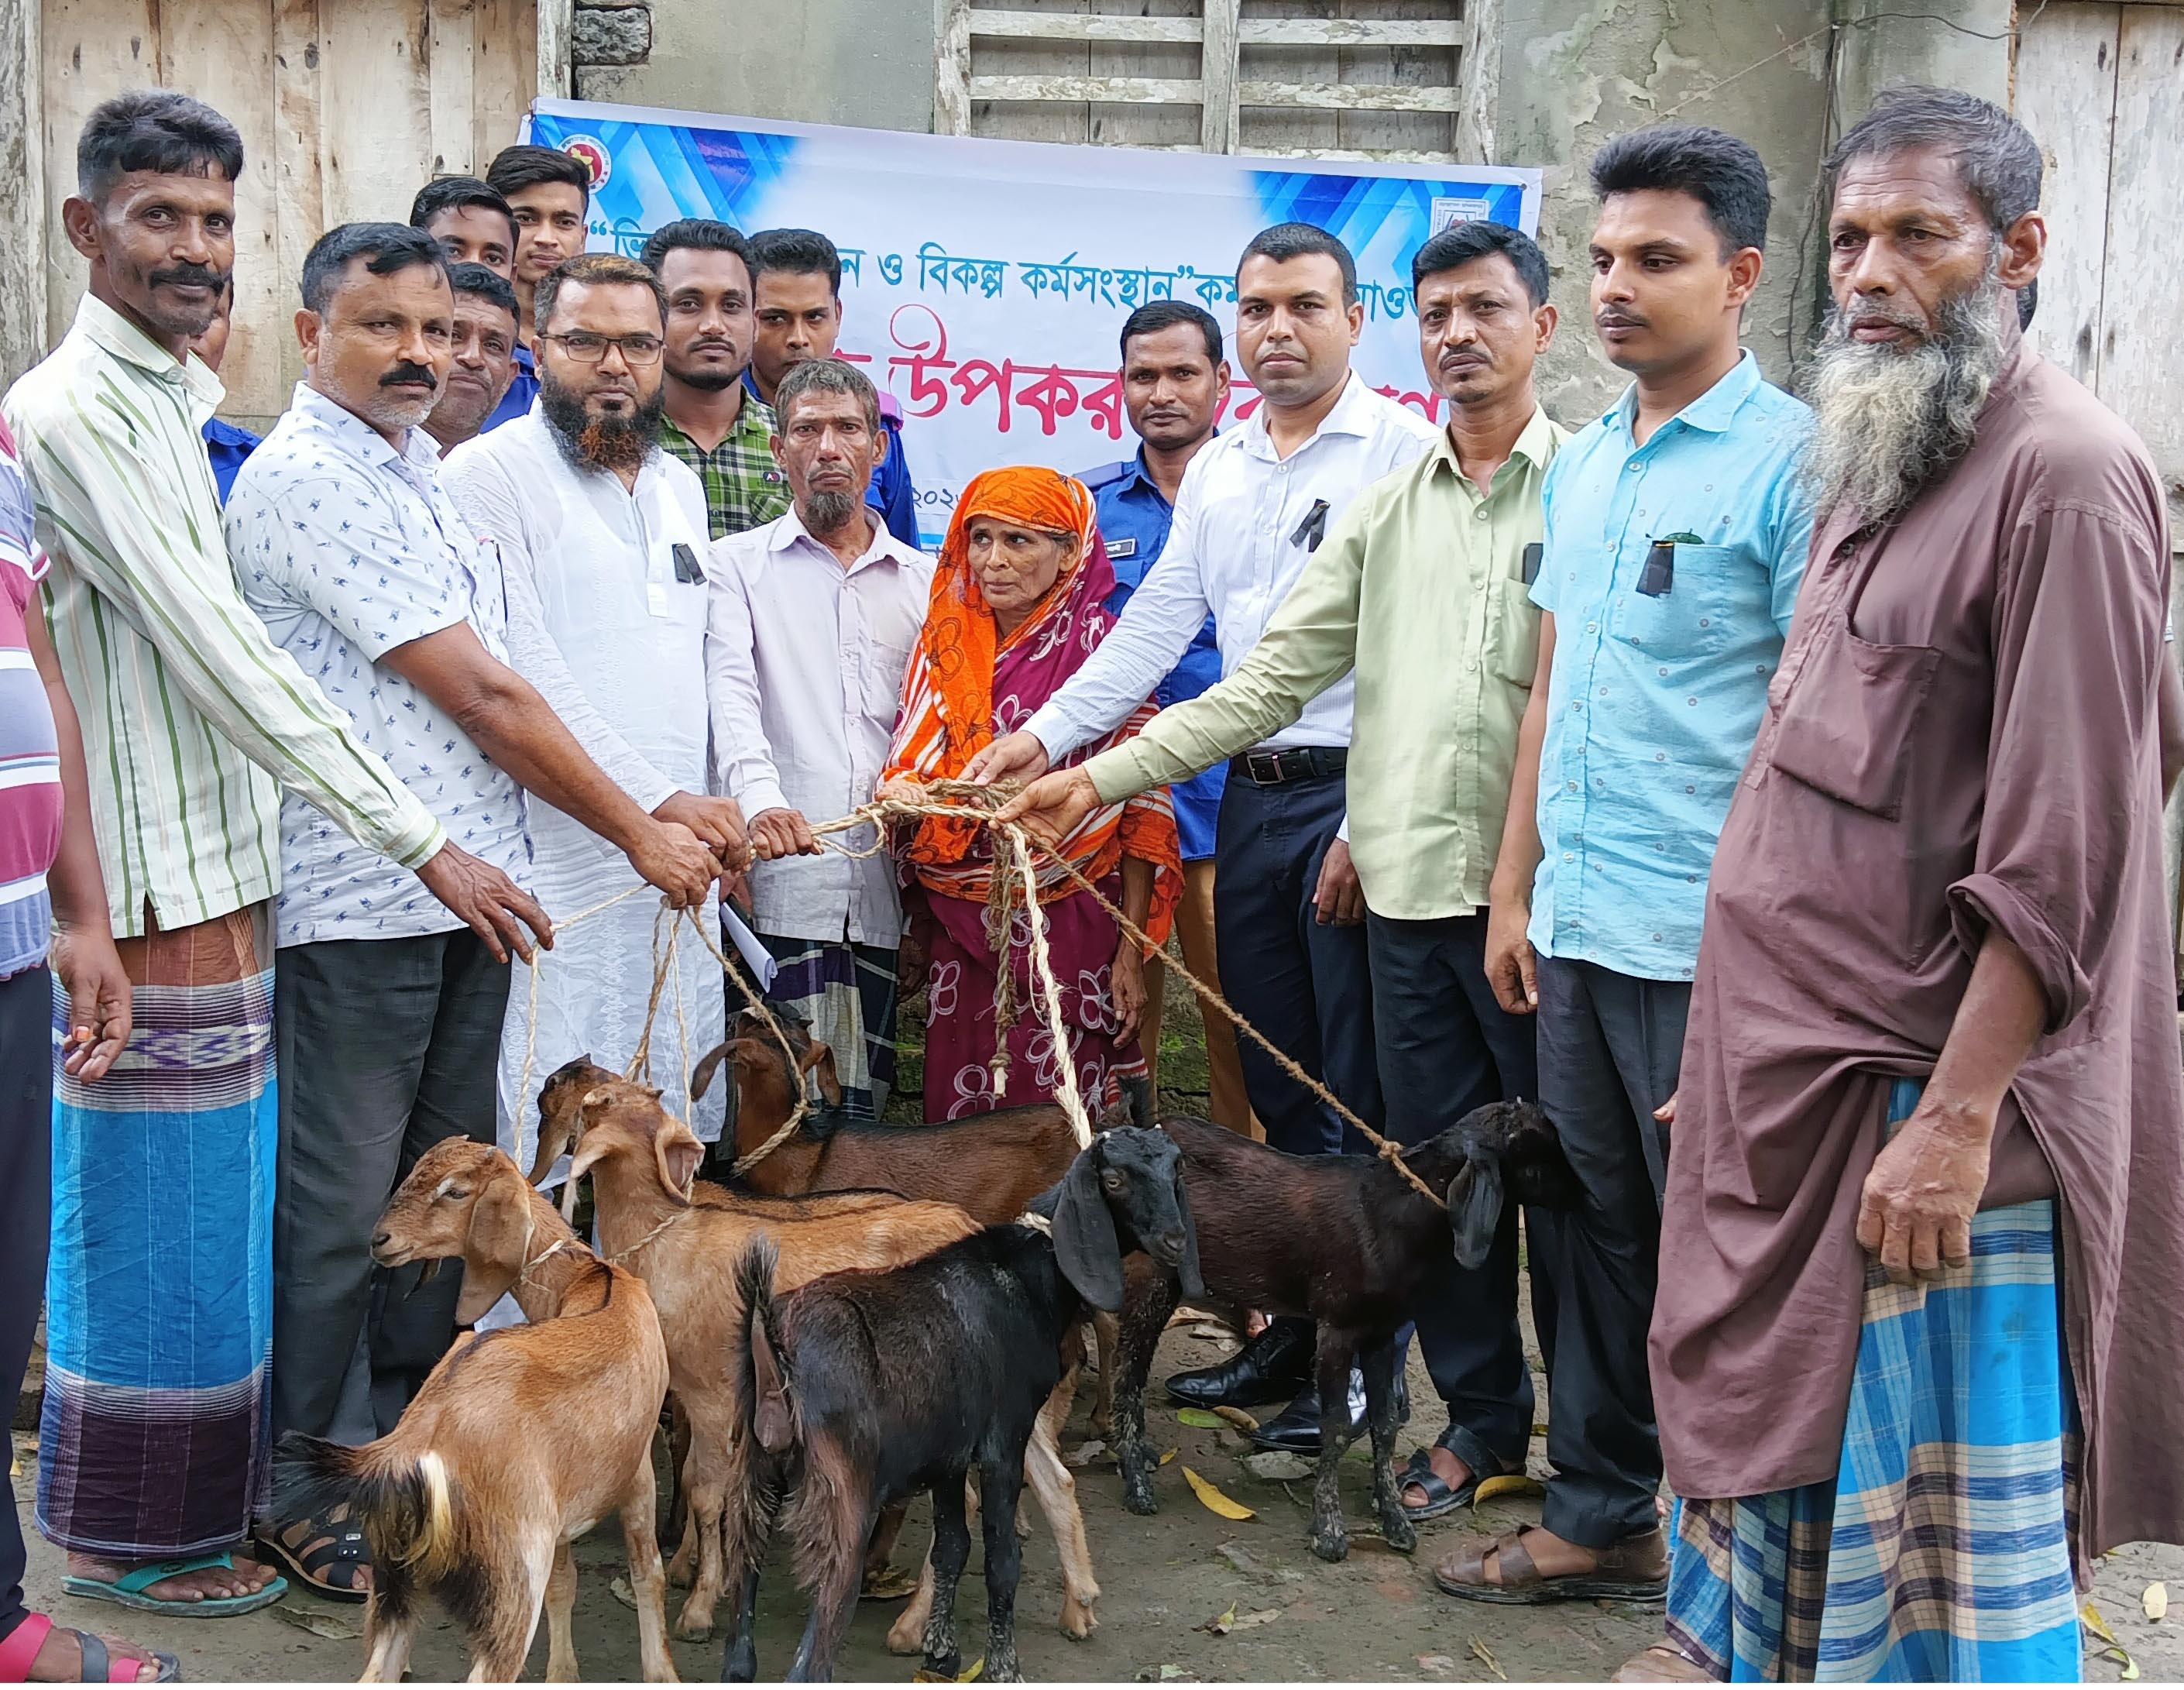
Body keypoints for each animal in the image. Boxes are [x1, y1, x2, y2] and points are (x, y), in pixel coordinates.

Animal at [277, 1144, 677, 1685]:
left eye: (456, 1191)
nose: (380, 1241)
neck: (590, 1283)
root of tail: (421, 1438)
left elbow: (568, 1581)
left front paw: (563, 1673)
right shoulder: (637, 1472)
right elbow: (646, 1572)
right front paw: (661, 1672)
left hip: (394, 1583)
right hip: (511, 1577)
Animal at [546, 1078, 991, 1650]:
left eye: (593, 1104)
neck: (668, 1245)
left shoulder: (712, 1391)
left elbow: (706, 1492)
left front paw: (699, 1609)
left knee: (963, 1503)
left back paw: (910, 1626)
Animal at [720, 1135, 1197, 1685]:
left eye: (1175, 1168)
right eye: (1114, 1180)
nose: (1176, 1240)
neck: (1029, 1272)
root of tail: (776, 1349)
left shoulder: (949, 1454)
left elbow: (952, 1545)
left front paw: (941, 1653)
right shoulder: (1002, 1440)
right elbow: (1001, 1558)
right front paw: (1003, 1668)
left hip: (754, 1477)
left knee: (741, 1631)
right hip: (842, 1496)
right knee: (812, 1659)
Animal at [1109, 1104, 1572, 1571]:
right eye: (1537, 1158)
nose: (1582, 1196)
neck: (1389, 1214)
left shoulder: (1382, 1331)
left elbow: (1385, 1424)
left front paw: (1395, 1520)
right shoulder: (1337, 1329)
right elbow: (1333, 1429)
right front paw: (1329, 1530)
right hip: (1150, 1279)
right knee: (1127, 1376)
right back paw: (1137, 1484)